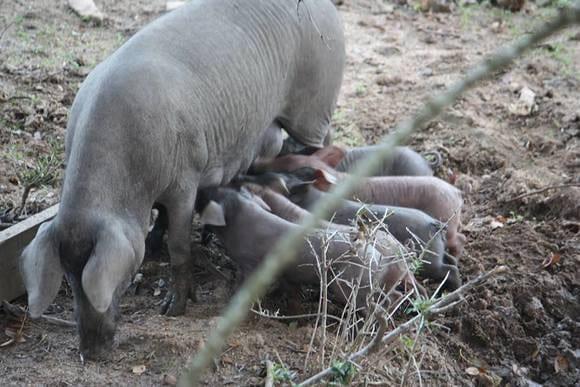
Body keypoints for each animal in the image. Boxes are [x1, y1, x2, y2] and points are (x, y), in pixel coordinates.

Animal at [19, 0, 344, 360]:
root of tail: (329, 8)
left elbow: (179, 246)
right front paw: (151, 245)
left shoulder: (185, 179)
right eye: (68, 276)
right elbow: (160, 217)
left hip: (314, 107)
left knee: (324, 141)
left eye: (111, 279)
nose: (90, 353)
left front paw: (172, 309)